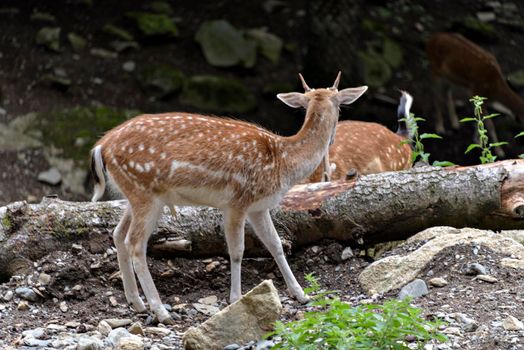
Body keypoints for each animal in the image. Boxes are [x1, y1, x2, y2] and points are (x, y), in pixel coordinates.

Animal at [89, 72, 368, 324]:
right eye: (341, 105)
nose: (332, 139)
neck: (284, 161)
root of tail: (102, 146)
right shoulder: (237, 202)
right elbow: (236, 250)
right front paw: (235, 298)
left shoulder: (259, 207)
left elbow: (276, 244)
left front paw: (300, 293)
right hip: (145, 192)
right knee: (135, 243)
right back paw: (161, 311)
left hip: (134, 194)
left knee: (117, 234)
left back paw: (136, 302)